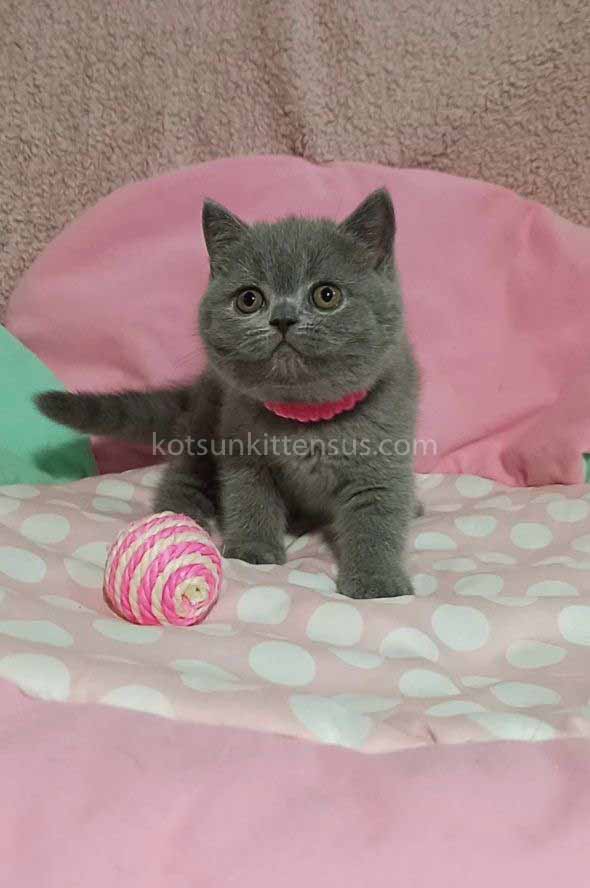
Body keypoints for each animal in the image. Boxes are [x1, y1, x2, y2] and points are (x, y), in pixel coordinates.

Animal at [37, 188, 420, 599]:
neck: (304, 418)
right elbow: (248, 497)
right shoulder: (241, 447)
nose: (282, 319)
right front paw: (253, 548)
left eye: (326, 295)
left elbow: (377, 519)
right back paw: (177, 515)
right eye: (249, 299)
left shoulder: (383, 457)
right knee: (183, 475)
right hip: (203, 425)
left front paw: (377, 581)